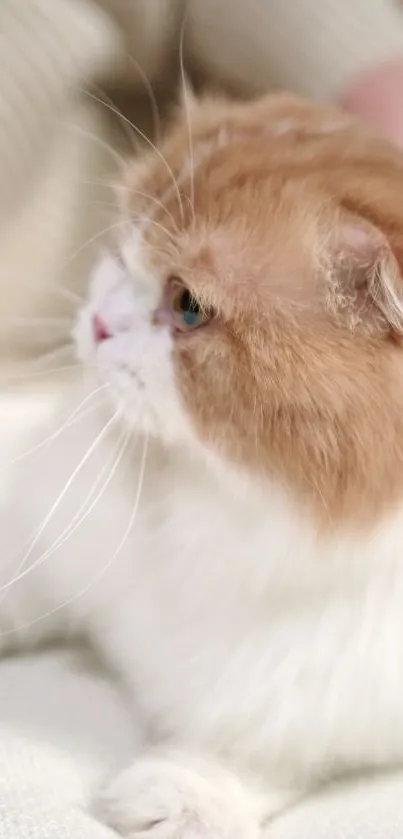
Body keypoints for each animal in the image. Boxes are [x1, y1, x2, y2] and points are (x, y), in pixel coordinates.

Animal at [3, 88, 403, 836]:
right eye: (123, 244)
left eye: (188, 307)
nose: (97, 321)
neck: (205, 500)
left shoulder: (332, 698)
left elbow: (266, 752)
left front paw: (186, 793)